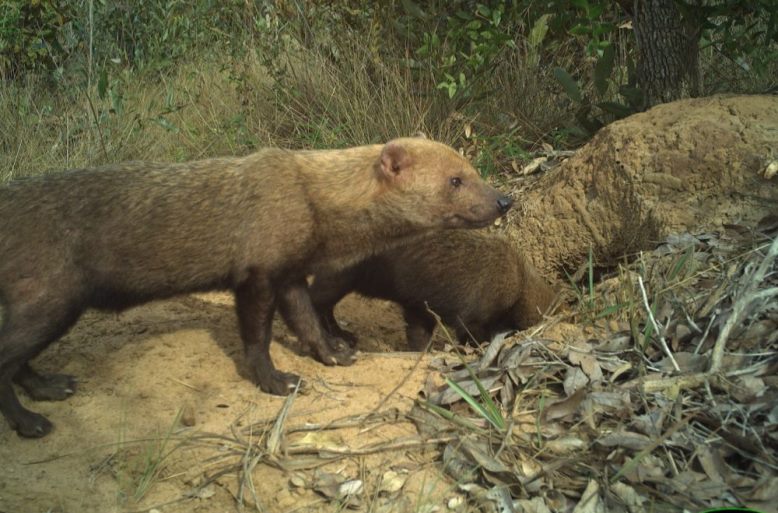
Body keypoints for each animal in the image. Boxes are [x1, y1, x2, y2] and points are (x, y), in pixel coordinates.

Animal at [0, 137, 512, 436]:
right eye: (455, 179)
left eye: (471, 170)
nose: (505, 199)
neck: (311, 198)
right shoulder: (256, 275)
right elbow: (258, 338)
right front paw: (275, 381)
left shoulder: (289, 275)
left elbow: (307, 323)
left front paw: (335, 353)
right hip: (49, 301)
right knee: (7, 359)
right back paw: (29, 422)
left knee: (18, 360)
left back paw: (49, 387)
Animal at [310, 230, 552, 350]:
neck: (519, 280)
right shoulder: (473, 314)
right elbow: (470, 333)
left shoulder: (418, 305)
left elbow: (418, 334)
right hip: (340, 277)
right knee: (318, 302)